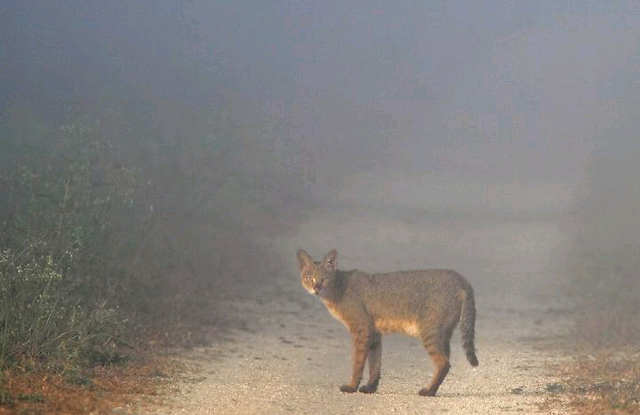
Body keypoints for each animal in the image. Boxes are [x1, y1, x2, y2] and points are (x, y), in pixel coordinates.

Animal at [298, 249, 478, 398]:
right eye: (309, 278)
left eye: (324, 278)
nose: (316, 288)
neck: (338, 287)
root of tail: (461, 279)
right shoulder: (374, 334)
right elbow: (375, 364)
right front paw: (370, 388)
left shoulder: (361, 329)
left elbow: (358, 362)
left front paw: (351, 387)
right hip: (444, 334)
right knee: (446, 361)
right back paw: (432, 390)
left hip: (429, 331)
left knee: (444, 362)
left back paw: (428, 391)